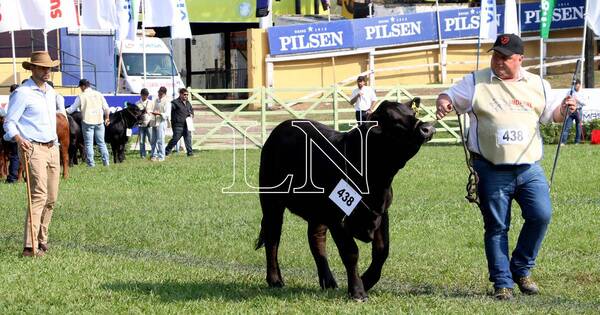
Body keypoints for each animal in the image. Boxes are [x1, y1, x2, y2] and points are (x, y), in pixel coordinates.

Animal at [255, 100, 434, 302]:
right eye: (394, 119)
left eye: (412, 113)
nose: (427, 128)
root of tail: (283, 126)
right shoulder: (338, 218)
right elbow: (351, 252)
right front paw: (357, 291)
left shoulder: (382, 212)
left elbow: (382, 251)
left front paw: (366, 281)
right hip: (271, 200)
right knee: (273, 236)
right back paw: (275, 280)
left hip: (317, 212)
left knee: (316, 239)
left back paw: (329, 282)